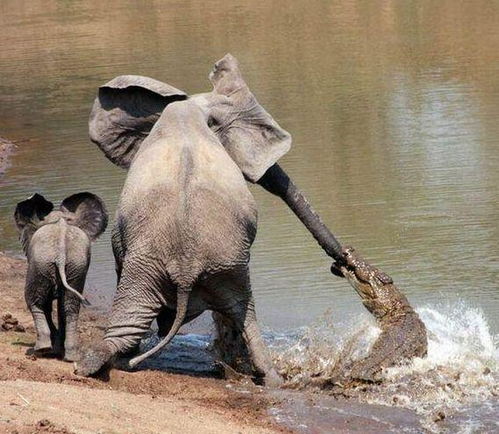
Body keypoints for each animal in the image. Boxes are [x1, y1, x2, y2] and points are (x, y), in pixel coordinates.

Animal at [14, 192, 107, 360]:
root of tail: (61, 253)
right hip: (75, 266)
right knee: (70, 306)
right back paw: (70, 355)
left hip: (41, 264)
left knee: (35, 302)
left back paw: (41, 350)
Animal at [76, 55, 292, 386]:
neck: (191, 109)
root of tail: (186, 269)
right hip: (220, 266)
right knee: (244, 315)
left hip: (161, 265)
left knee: (131, 318)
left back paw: (97, 364)